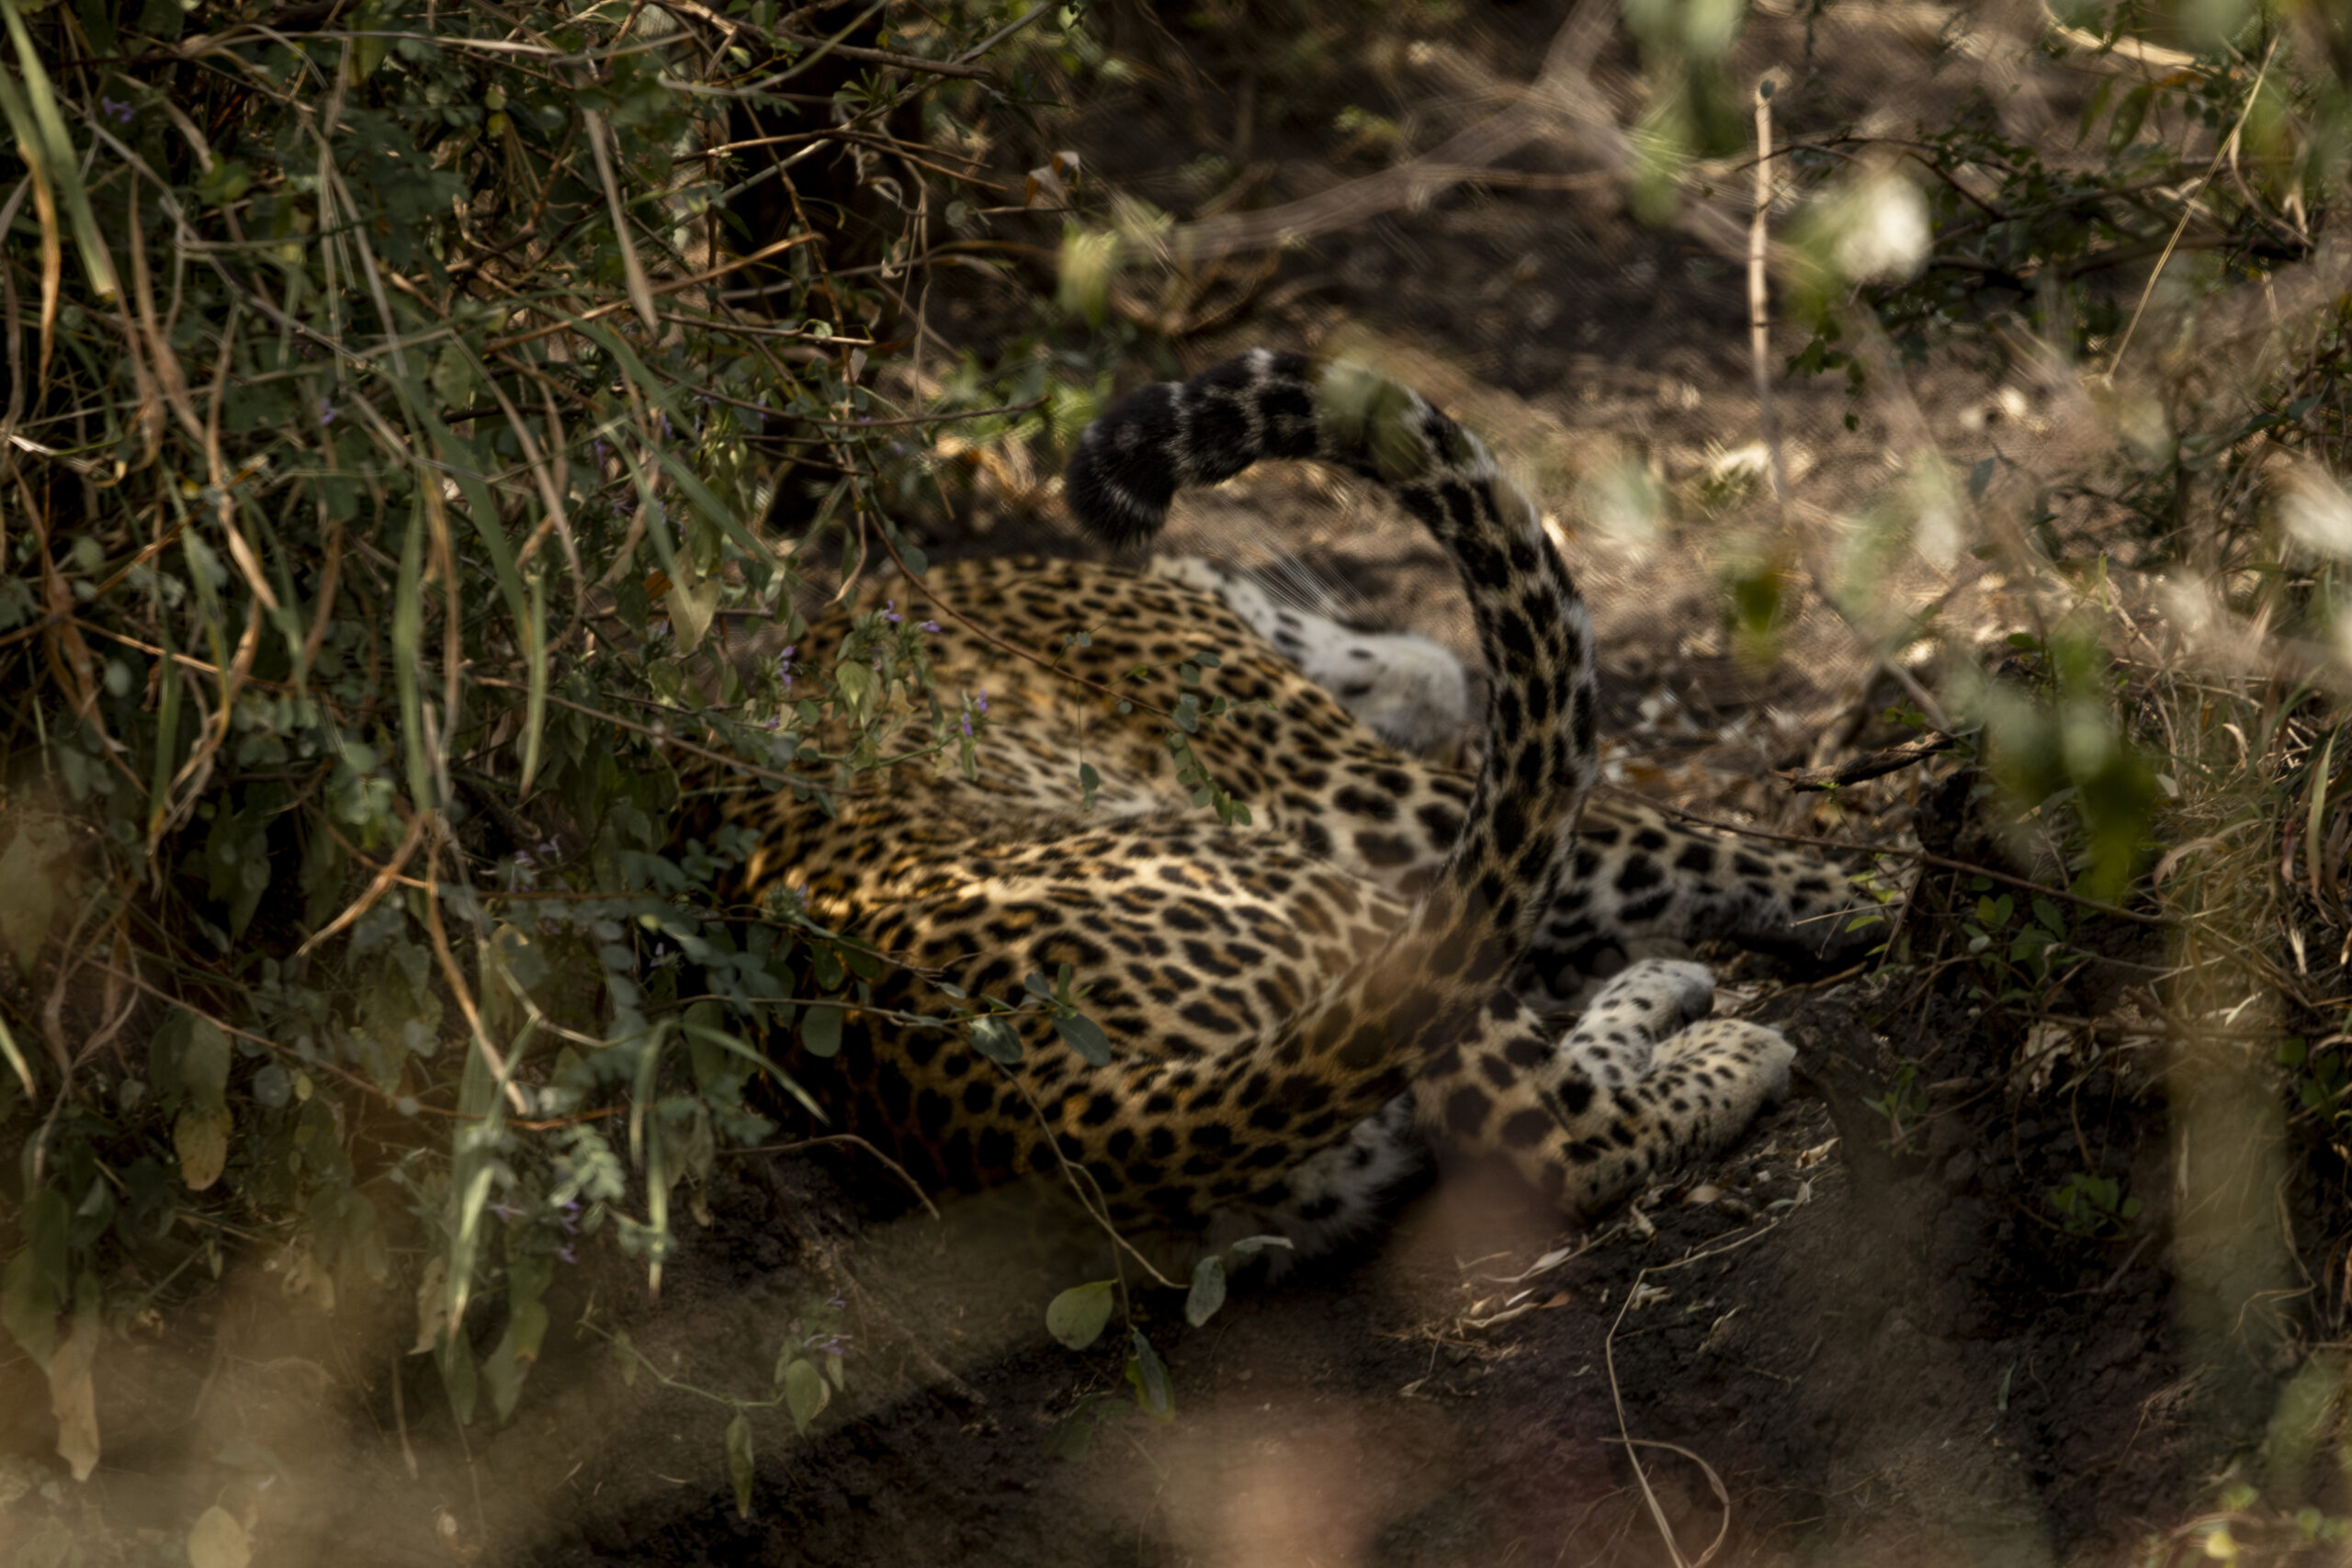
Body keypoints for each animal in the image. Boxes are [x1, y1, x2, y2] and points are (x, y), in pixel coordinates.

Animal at [686, 350, 1871, 1259]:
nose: (1438, 674)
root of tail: (1067, 1105)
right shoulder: (1352, 785)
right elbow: (1696, 846)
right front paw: (1868, 887)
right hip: (1353, 902)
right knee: (1553, 1139)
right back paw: (1704, 1031)